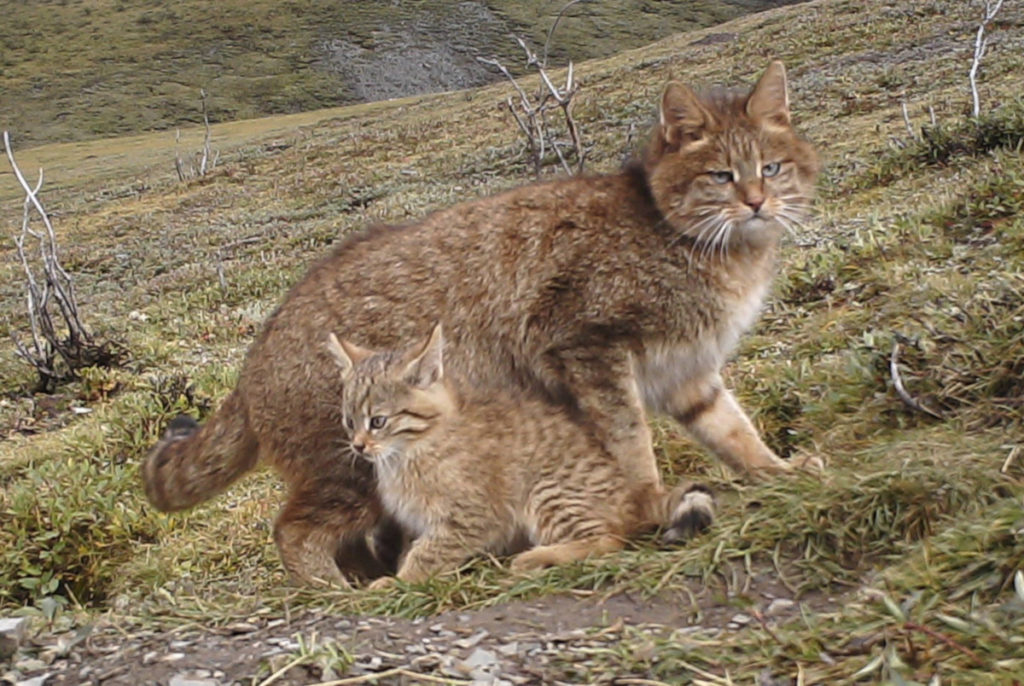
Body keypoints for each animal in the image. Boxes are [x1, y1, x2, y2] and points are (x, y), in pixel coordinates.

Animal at [325, 325, 712, 589]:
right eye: (348, 421)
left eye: (378, 421)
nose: (358, 446)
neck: (411, 450)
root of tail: (635, 494)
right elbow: (413, 547)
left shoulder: (471, 515)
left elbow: (428, 552)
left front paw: (401, 582)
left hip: (548, 491)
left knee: (610, 539)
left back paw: (537, 556)